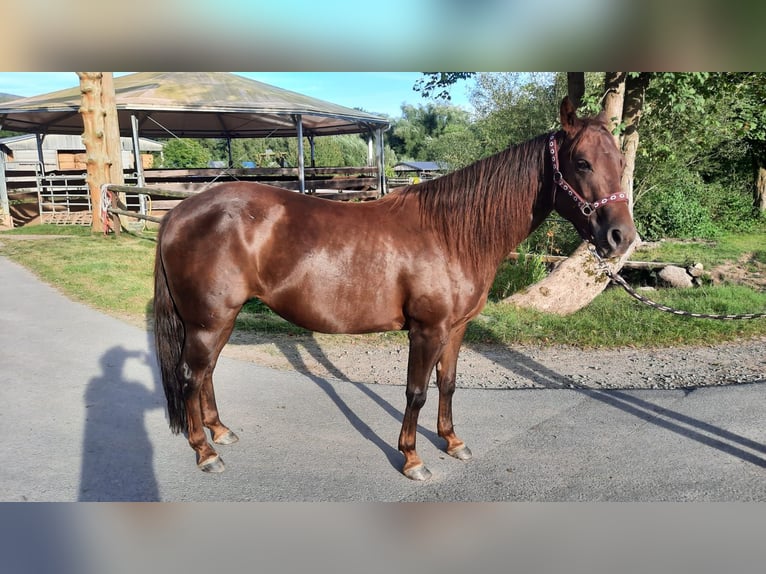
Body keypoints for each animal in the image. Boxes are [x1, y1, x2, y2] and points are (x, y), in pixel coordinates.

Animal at [154, 99, 636, 482]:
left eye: (619, 161)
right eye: (581, 163)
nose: (621, 238)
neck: (451, 233)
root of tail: (179, 212)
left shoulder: (456, 329)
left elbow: (448, 384)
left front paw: (453, 442)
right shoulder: (426, 330)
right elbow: (416, 392)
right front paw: (412, 459)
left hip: (221, 320)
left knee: (207, 374)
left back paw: (220, 432)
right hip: (208, 321)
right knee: (191, 375)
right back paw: (205, 452)